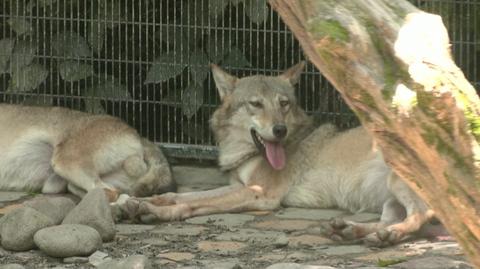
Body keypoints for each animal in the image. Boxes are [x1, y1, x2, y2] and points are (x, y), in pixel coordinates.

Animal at [123, 61, 436, 246]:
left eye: (283, 103)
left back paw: (388, 235)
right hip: (389, 199)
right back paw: (349, 230)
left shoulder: (260, 194)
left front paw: (153, 210)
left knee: (419, 217)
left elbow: (195, 203)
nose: (280, 130)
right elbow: (185, 196)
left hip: (397, 183)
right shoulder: (240, 186)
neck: (243, 153)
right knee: (391, 221)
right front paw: (148, 203)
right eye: (256, 104)